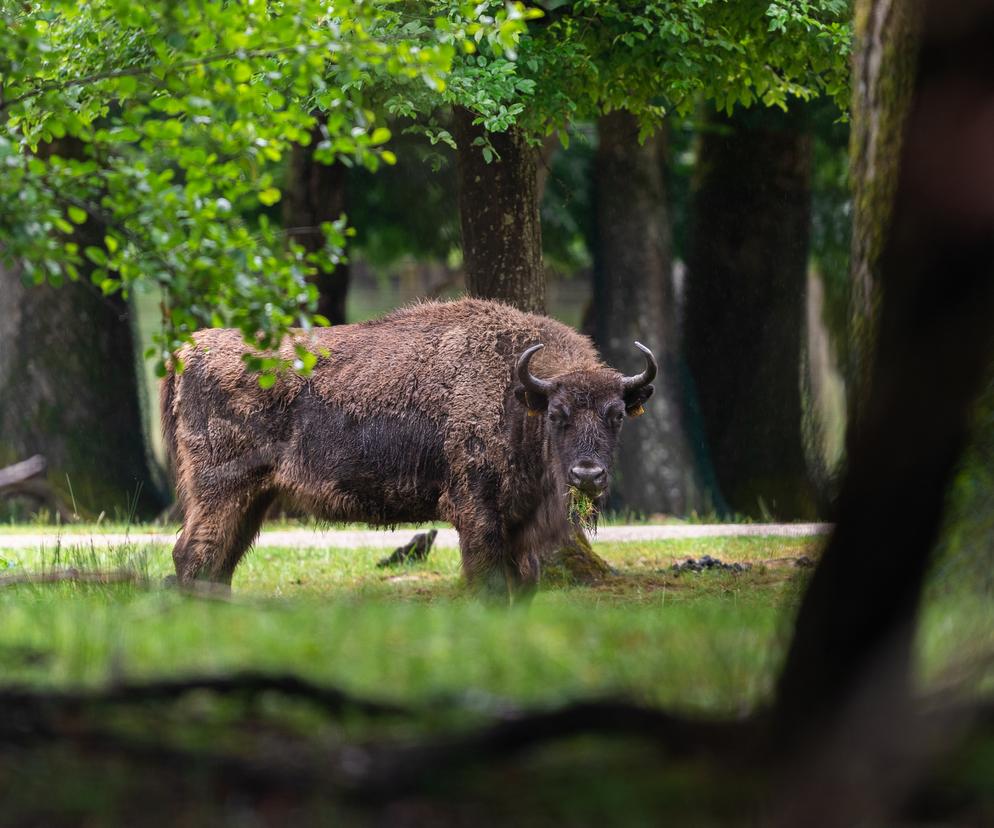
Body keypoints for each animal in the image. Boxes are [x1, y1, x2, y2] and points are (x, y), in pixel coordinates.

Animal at [162, 298, 656, 600]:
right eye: (557, 414)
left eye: (616, 415)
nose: (587, 475)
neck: (518, 394)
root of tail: (188, 351)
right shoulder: (478, 514)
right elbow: (489, 581)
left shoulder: (518, 524)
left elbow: (526, 579)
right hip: (221, 491)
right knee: (194, 555)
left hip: (254, 498)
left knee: (221, 562)